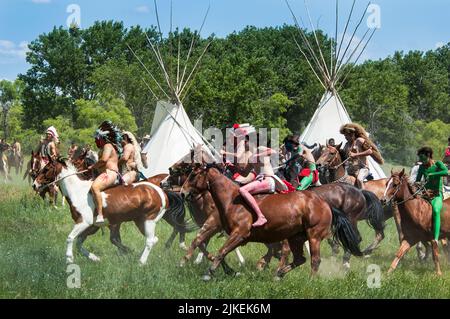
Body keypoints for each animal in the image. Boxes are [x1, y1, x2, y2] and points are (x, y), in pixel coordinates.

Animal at [181, 166, 360, 282]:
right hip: (296, 238)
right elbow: (210, 247)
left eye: (193, 175)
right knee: (299, 259)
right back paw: (278, 274)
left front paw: (209, 272)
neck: (232, 200)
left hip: (314, 236)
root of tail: (326, 204)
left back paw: (310, 280)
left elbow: (221, 251)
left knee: (314, 260)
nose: (182, 193)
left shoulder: (239, 234)